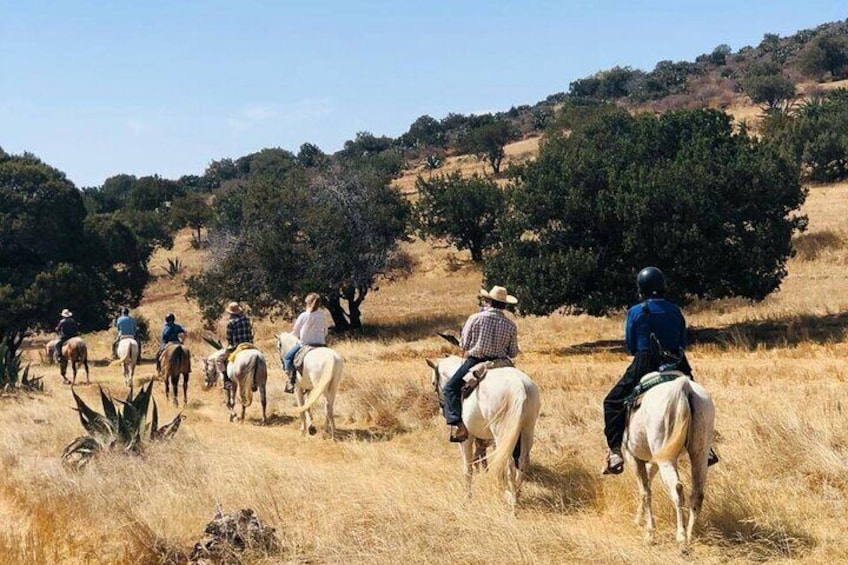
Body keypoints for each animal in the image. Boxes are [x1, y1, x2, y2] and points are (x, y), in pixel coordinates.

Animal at [428, 354, 540, 504]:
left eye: (433, 383)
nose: (442, 409)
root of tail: (520, 387)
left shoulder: (466, 438)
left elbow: (468, 467)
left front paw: (467, 496)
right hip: (527, 430)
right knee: (522, 462)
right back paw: (516, 494)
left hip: (503, 434)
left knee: (509, 464)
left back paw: (512, 501)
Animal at [624, 372, 716, 544]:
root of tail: (684, 386)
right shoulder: (654, 460)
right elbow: (647, 485)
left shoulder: (634, 457)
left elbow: (645, 491)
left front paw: (649, 532)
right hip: (699, 454)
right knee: (697, 493)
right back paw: (691, 534)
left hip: (666, 459)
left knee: (677, 490)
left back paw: (681, 537)